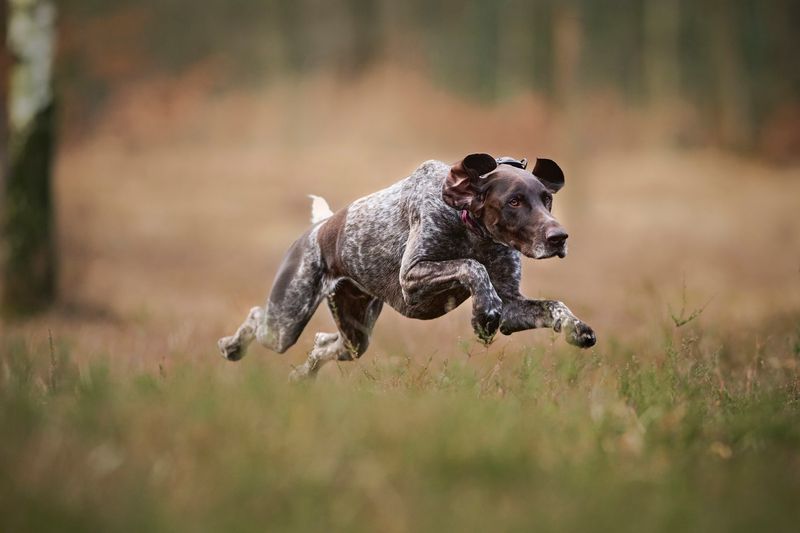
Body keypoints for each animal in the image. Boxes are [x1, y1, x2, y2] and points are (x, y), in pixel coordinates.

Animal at [217, 152, 592, 380]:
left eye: (546, 199)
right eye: (514, 201)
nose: (559, 237)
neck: (472, 227)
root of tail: (319, 227)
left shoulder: (512, 306)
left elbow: (555, 306)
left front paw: (576, 328)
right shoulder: (412, 279)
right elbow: (472, 267)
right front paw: (483, 315)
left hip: (355, 337)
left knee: (323, 343)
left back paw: (302, 376)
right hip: (285, 323)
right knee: (256, 316)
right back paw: (232, 346)